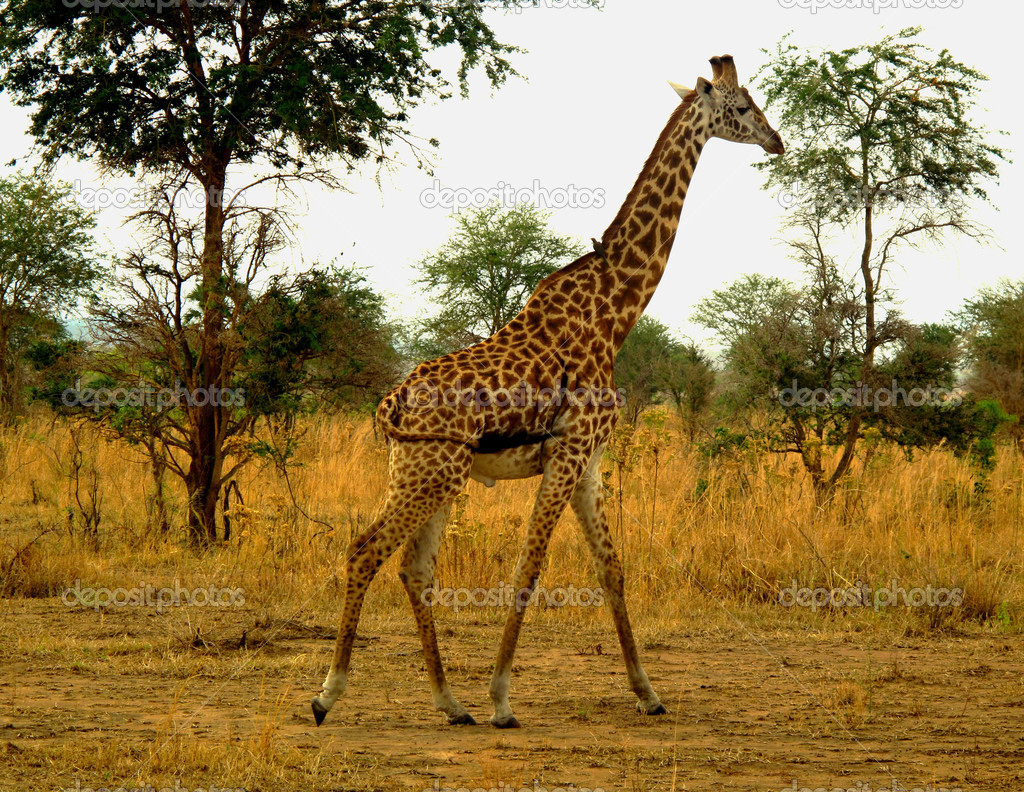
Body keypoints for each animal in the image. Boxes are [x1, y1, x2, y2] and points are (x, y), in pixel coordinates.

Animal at [311, 52, 782, 725]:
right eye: (742, 106)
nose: (776, 140)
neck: (615, 310)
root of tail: (389, 404)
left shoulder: (588, 460)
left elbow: (612, 568)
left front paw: (648, 693)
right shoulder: (566, 452)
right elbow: (529, 566)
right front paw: (503, 698)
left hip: (429, 474)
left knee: (413, 570)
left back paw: (450, 703)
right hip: (430, 473)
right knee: (364, 552)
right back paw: (329, 694)